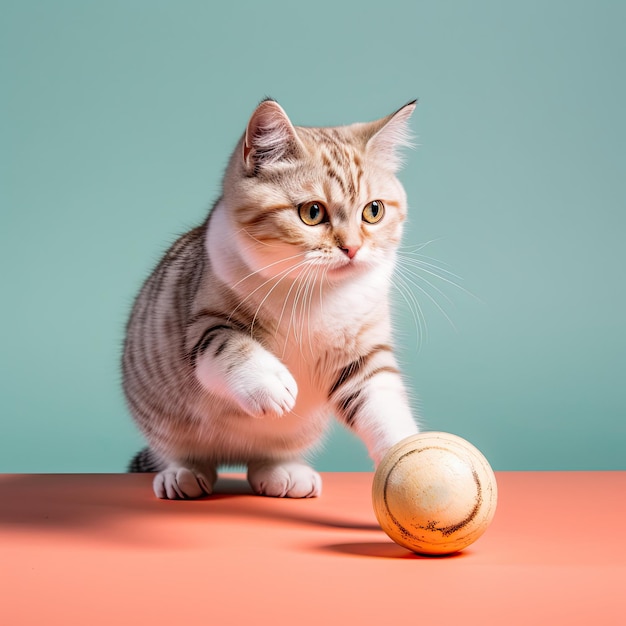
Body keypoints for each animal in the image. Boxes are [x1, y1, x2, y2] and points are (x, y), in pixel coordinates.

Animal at [120, 97, 420, 498]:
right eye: (312, 212)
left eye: (373, 211)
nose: (353, 248)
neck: (318, 292)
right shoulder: (203, 323)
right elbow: (230, 346)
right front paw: (271, 382)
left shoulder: (362, 354)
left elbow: (384, 403)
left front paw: (413, 461)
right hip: (161, 414)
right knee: (179, 452)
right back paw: (182, 474)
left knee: (265, 458)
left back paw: (283, 473)